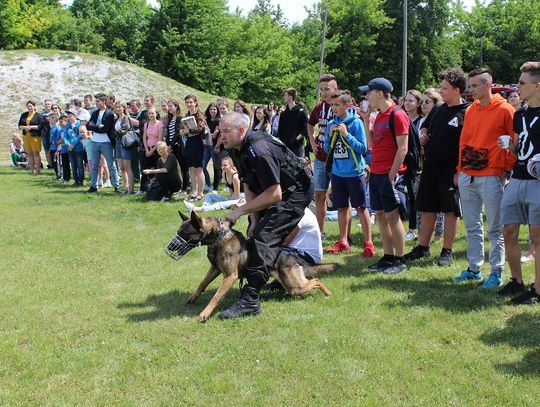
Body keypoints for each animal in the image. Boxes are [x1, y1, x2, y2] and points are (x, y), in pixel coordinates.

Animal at [165, 212, 336, 324]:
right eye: (179, 232)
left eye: (184, 233)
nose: (170, 248)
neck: (219, 238)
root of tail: (294, 257)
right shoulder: (215, 269)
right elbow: (202, 283)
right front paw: (193, 298)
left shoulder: (230, 277)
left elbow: (216, 296)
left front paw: (205, 314)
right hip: (292, 285)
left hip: (296, 286)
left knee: (316, 280)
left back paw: (328, 294)